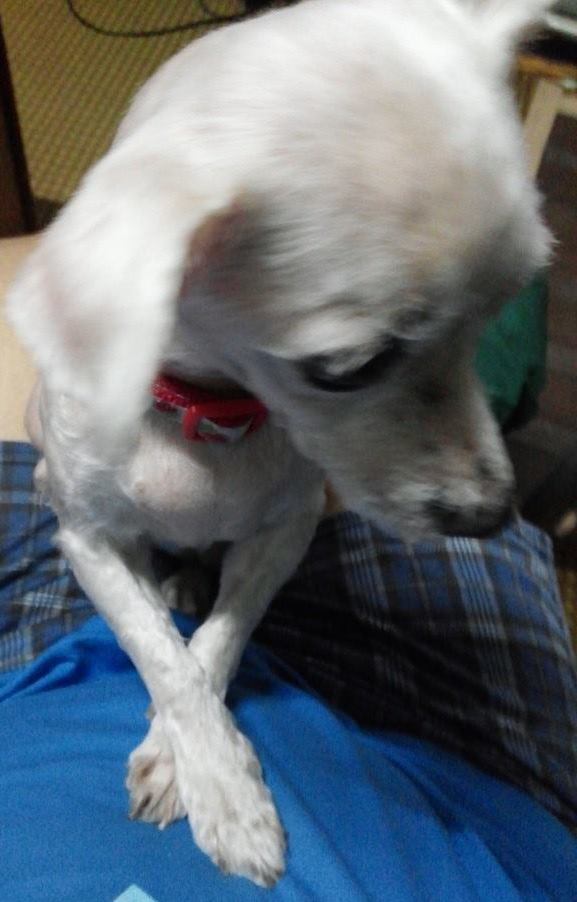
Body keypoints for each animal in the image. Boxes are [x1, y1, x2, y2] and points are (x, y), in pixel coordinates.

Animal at [7, 0, 551, 887]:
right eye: (346, 370)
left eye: (500, 308)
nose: (489, 516)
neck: (204, 413)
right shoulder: (87, 541)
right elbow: (160, 654)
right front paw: (224, 792)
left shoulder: (284, 533)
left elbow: (216, 644)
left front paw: (189, 764)